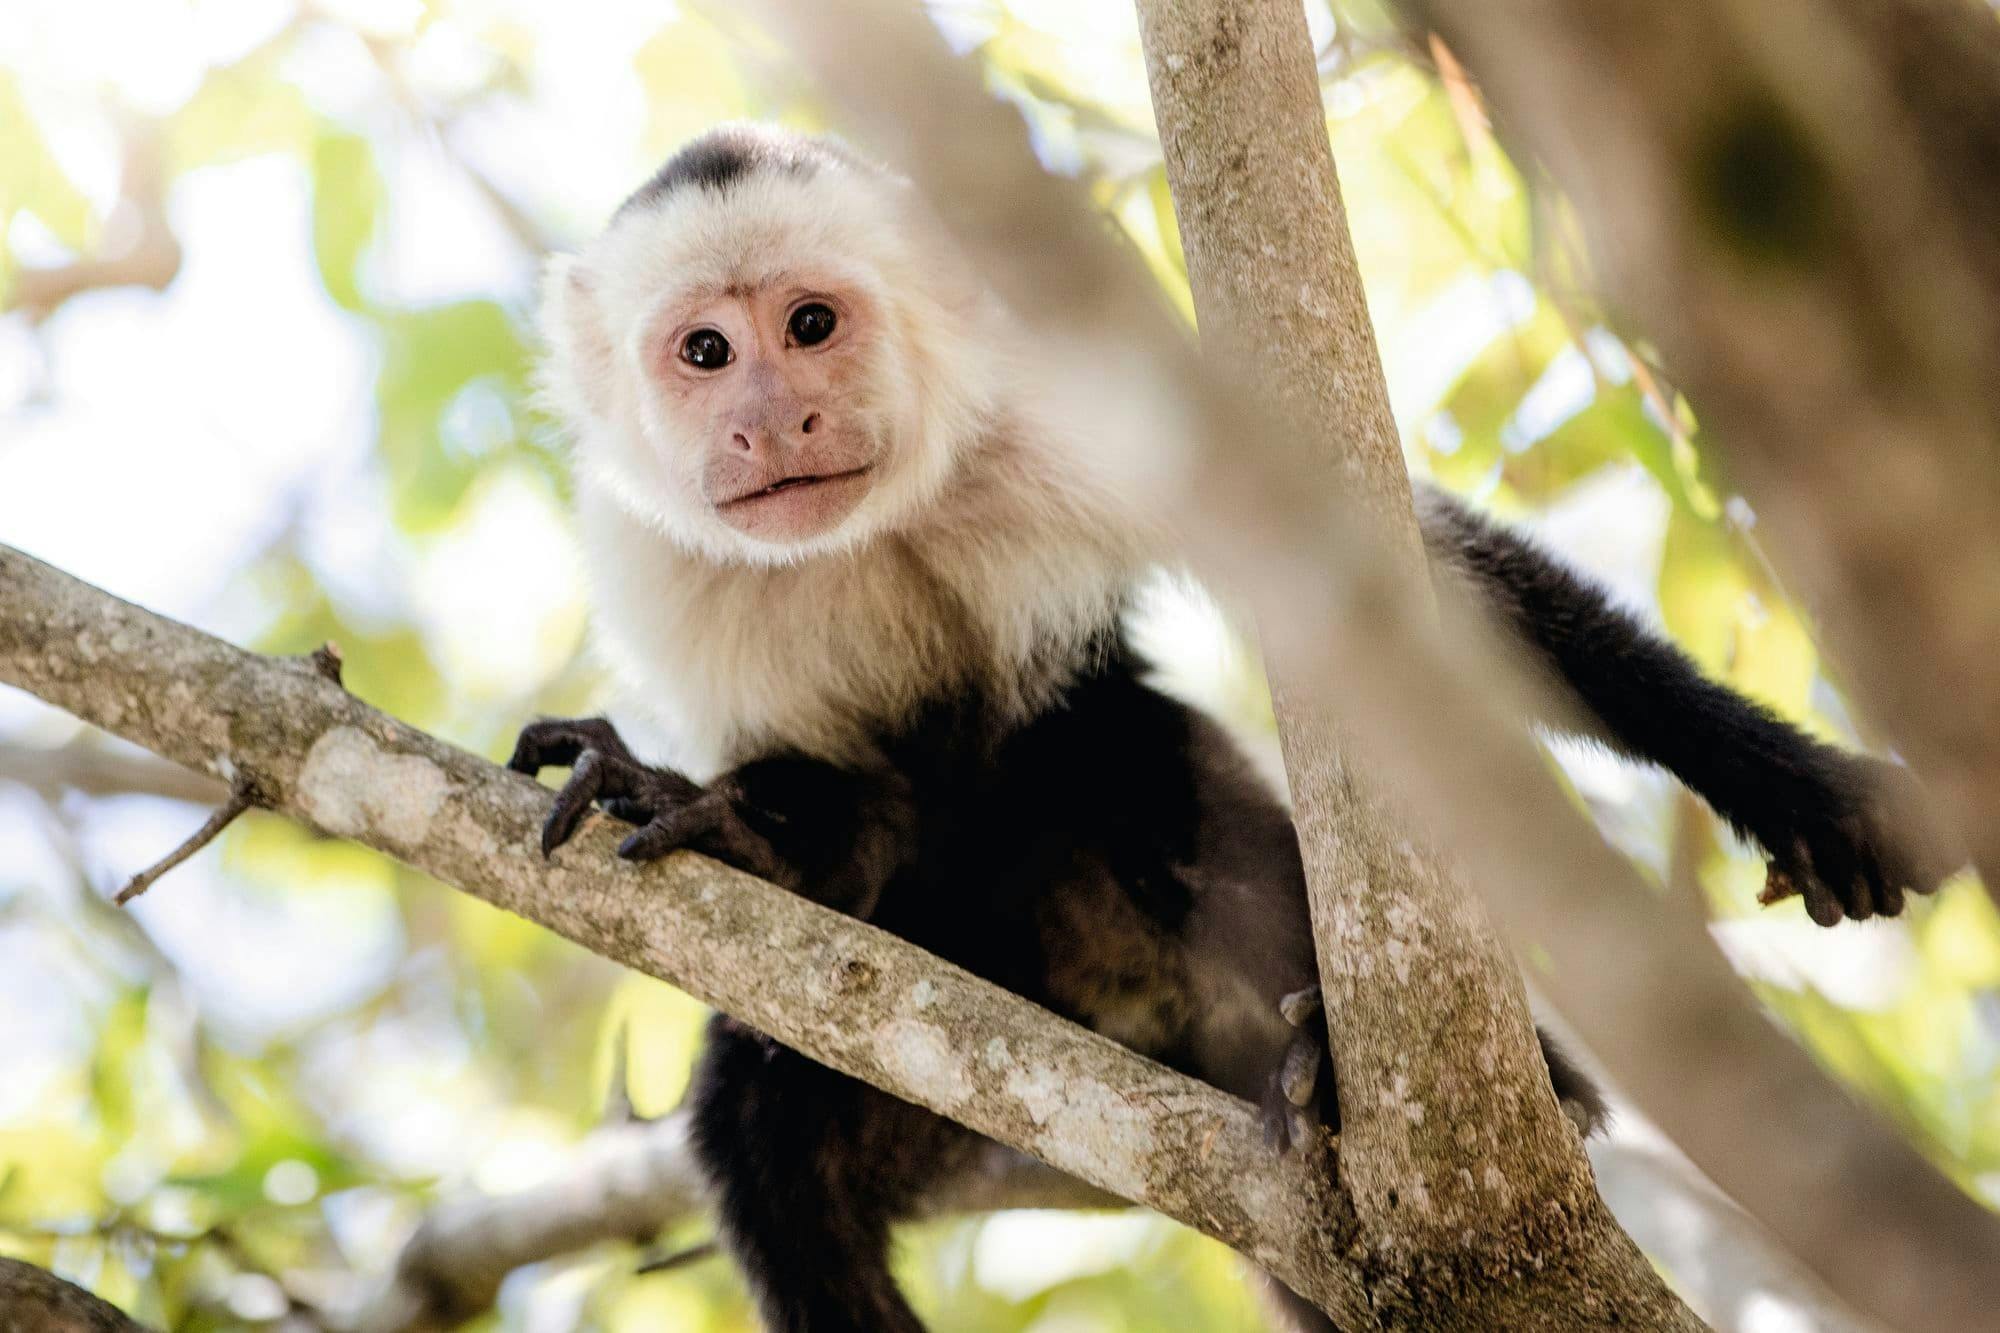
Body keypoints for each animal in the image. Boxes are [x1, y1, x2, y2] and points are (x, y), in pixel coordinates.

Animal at [508, 124, 1960, 1328]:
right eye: (705, 352)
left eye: (810, 323)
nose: (774, 420)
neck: (887, 523)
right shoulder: (666, 569)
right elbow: (847, 811)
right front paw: (718, 814)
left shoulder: (1072, 414)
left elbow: (1409, 595)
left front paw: (1792, 783)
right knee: (768, 1146)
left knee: (1149, 791)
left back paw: (1374, 1060)